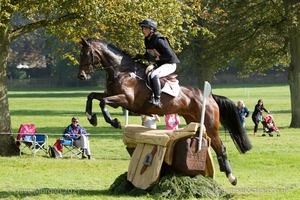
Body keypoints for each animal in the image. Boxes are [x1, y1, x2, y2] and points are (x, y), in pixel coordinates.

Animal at [77, 38, 251, 186]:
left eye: (85, 54)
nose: (81, 76)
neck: (122, 71)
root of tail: (209, 96)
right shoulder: (111, 95)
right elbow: (92, 96)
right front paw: (91, 117)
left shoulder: (127, 100)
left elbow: (103, 102)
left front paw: (114, 122)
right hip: (193, 120)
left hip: (210, 124)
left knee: (220, 147)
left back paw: (231, 177)